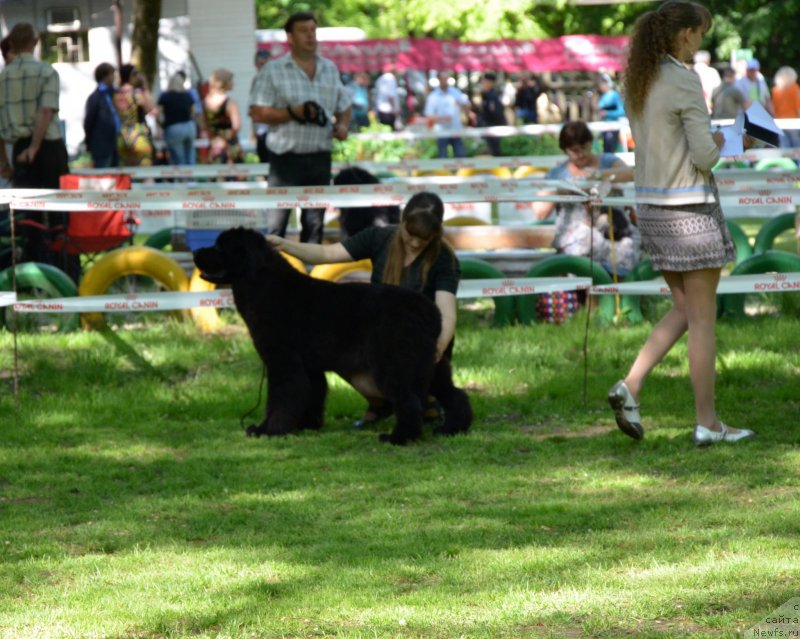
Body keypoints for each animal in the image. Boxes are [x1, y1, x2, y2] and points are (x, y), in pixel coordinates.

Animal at [191, 229, 472, 444]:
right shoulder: (308, 367)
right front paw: (305, 425)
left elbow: (279, 399)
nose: (196, 253)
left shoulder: (282, 362)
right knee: (455, 394)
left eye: (220, 247)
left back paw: (398, 438)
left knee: (410, 400)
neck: (262, 283)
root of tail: (429, 309)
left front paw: (266, 430)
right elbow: (312, 395)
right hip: (431, 362)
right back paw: (453, 428)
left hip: (393, 363)